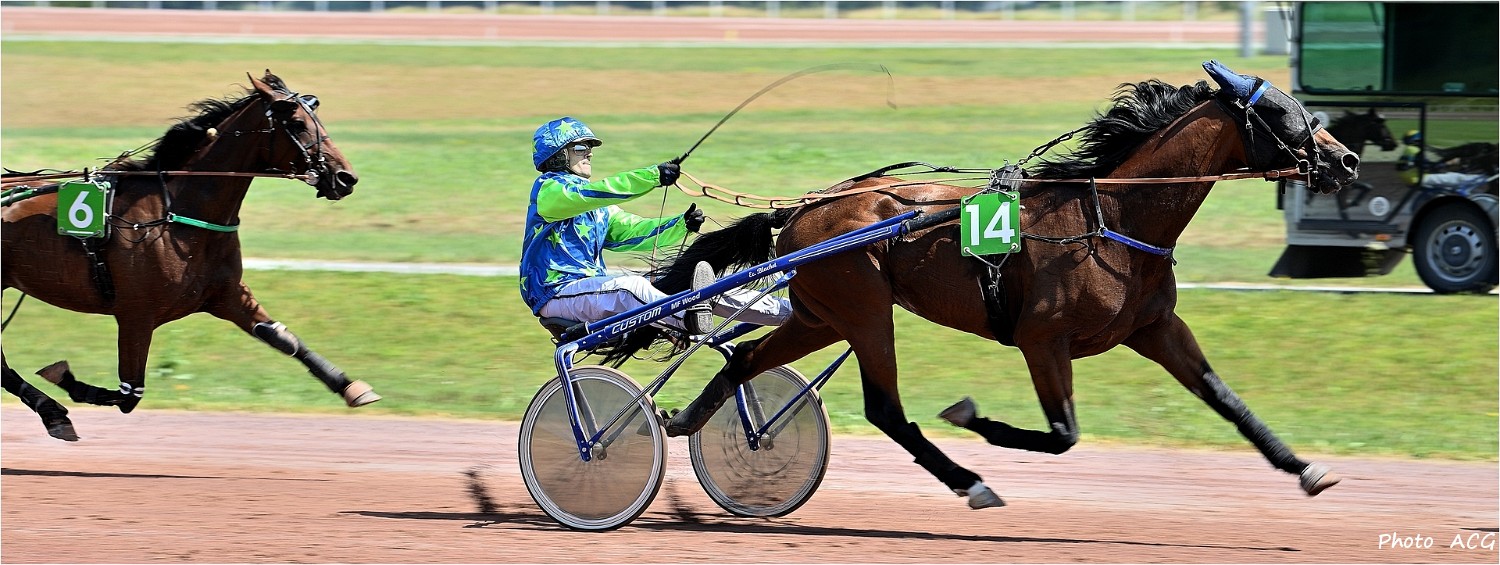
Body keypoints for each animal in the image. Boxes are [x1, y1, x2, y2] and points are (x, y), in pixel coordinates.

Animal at [2, 71, 379, 442]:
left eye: (317, 119)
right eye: (298, 123)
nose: (345, 177)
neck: (176, 214)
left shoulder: (227, 295)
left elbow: (282, 338)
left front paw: (350, 386)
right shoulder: (136, 313)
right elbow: (130, 393)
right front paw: (66, 378)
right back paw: (53, 412)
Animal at [645, 61, 1359, 507]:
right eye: (1286, 115)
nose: (1347, 159)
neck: (1113, 218)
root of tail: (804, 208)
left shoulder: (1155, 327)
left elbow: (1225, 398)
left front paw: (1305, 469)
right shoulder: (1044, 339)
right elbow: (1063, 434)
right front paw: (971, 416)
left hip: (820, 315)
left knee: (744, 357)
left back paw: (690, 420)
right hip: (865, 310)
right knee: (885, 410)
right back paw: (972, 483)